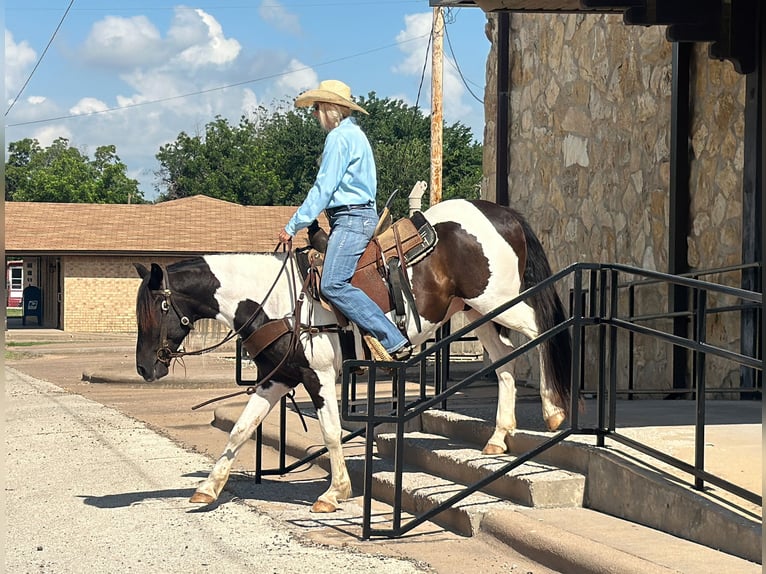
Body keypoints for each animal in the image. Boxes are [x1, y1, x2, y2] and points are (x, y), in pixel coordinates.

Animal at [135, 200, 572, 516]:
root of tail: (503, 214)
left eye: (156, 308)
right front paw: (208, 488)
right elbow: (241, 429)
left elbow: (330, 432)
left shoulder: (319, 377)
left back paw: (553, 411)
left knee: (540, 332)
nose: (144, 367)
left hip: (498, 301)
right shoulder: (277, 378)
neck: (274, 301)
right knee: (505, 361)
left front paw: (335, 492)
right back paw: (499, 437)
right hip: (476, 310)